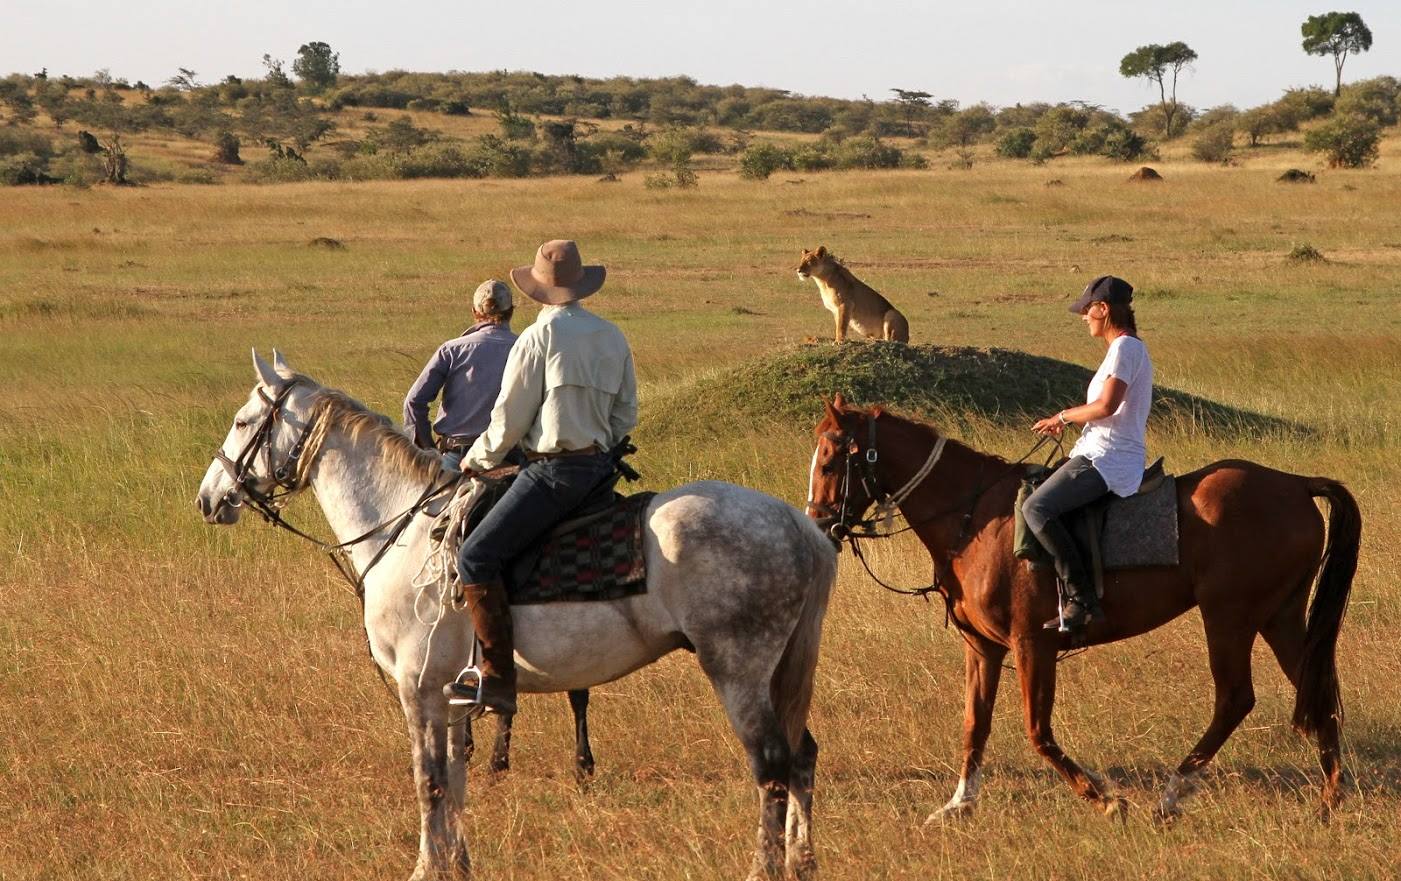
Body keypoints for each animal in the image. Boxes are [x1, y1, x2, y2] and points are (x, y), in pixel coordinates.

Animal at [196, 351, 837, 881]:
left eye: (244, 421)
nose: (208, 498)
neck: (401, 525)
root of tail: (796, 524)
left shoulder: (417, 689)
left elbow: (429, 781)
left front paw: (426, 869)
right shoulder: (452, 694)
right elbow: (455, 783)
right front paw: (457, 866)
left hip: (738, 671)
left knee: (772, 765)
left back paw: (765, 868)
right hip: (779, 672)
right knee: (803, 755)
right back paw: (803, 861)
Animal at [806, 395, 1360, 822]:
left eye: (830, 462)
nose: (819, 525)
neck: (976, 519)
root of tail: (1294, 483)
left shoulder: (1033, 644)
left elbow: (1038, 732)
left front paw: (1104, 798)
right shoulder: (983, 648)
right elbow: (974, 724)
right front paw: (959, 804)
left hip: (1229, 616)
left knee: (1236, 698)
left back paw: (1173, 794)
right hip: (1279, 615)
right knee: (1318, 687)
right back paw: (1329, 799)